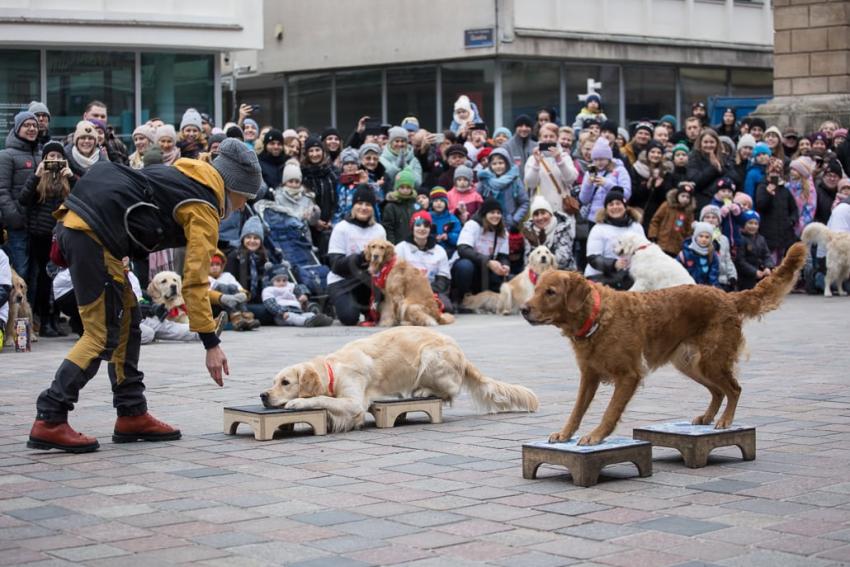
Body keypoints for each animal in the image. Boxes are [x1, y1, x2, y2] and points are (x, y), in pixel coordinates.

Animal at [258, 326, 536, 432]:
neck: (333, 368)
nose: (263, 395)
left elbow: (322, 399)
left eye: (285, 383)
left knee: (450, 392)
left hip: (430, 358)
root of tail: (462, 354)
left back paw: (423, 391)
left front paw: (297, 402)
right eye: (273, 381)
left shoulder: (354, 401)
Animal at [520, 242, 804, 446]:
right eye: (536, 290)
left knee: (734, 389)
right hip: (691, 364)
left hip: (711, 360)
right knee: (718, 391)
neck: (597, 317)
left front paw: (596, 436)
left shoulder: (629, 375)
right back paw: (707, 417)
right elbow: (577, 410)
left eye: (551, 292)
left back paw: (724, 421)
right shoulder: (589, 376)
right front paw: (565, 434)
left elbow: (610, 411)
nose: (523, 309)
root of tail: (728, 296)